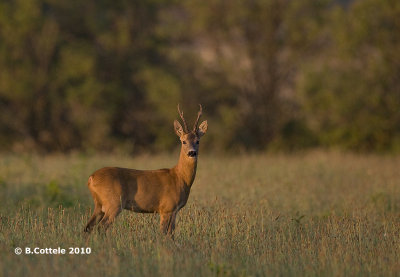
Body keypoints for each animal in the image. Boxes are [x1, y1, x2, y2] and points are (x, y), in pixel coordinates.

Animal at [85, 104, 209, 234]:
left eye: (197, 141)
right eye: (183, 141)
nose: (192, 152)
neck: (179, 177)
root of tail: (91, 178)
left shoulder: (174, 211)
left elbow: (171, 233)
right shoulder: (166, 208)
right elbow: (163, 232)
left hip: (99, 205)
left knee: (88, 227)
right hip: (113, 203)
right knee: (100, 227)